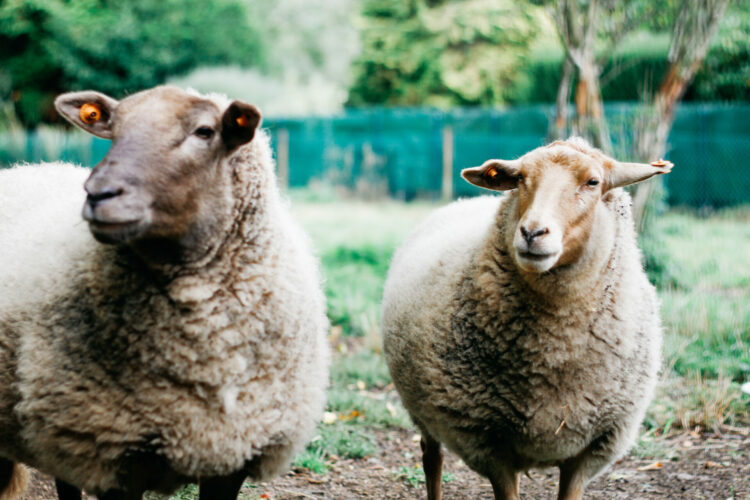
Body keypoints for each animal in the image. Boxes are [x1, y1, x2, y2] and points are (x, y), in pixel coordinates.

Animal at [0, 85, 329, 500]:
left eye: (205, 131)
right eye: (113, 129)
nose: (98, 193)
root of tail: (28, 167)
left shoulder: (234, 451)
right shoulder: (110, 453)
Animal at [382, 138, 671, 500]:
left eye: (592, 182)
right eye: (519, 178)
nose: (532, 232)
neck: (554, 351)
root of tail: (466, 199)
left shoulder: (591, 451)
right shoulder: (487, 445)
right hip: (424, 411)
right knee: (431, 457)